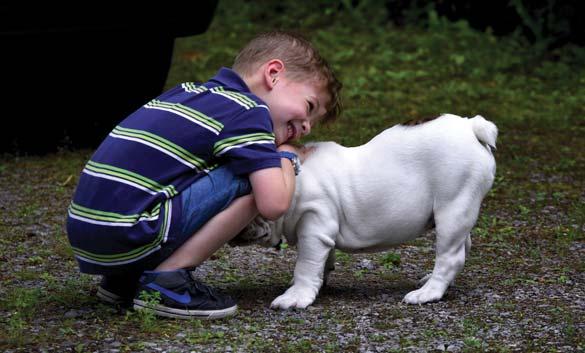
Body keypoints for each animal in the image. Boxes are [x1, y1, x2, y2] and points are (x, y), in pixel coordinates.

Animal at [235, 115, 496, 308]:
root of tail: (471, 126)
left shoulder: (314, 226)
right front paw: (320, 280)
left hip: (453, 206)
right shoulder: (322, 233)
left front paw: (296, 296)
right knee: (462, 246)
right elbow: (323, 260)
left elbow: (306, 264)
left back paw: (427, 292)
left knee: (450, 256)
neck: (292, 178)